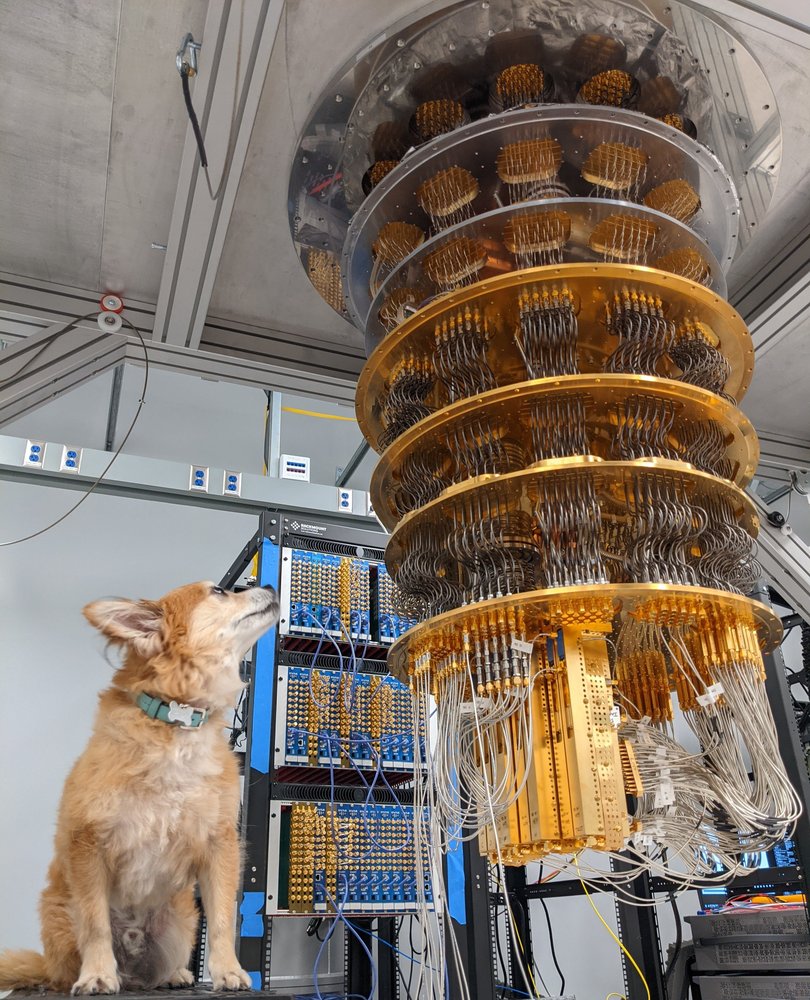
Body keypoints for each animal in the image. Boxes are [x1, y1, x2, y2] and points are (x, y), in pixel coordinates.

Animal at [0, 580, 278, 992]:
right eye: (219, 591)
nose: (270, 585)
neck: (177, 722)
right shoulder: (89, 843)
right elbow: (96, 923)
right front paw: (98, 974)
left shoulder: (219, 844)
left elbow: (223, 919)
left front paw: (228, 970)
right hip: (61, 921)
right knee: (69, 968)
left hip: (182, 920)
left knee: (160, 969)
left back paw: (177, 974)